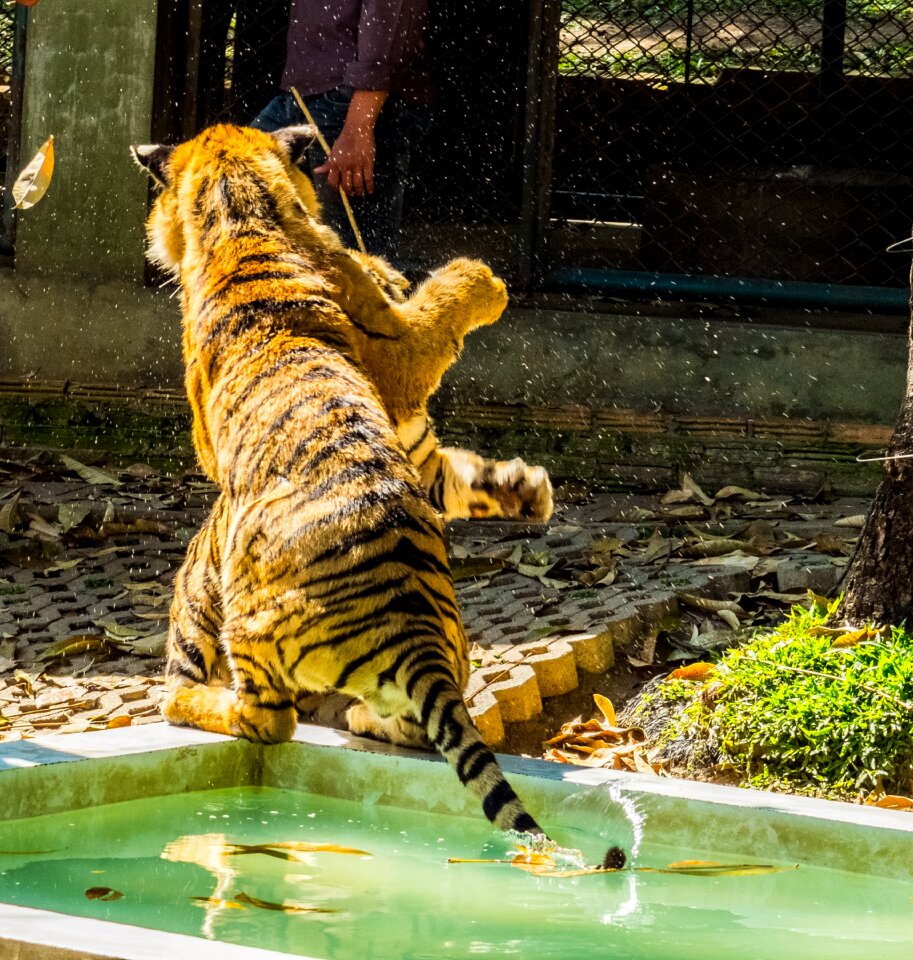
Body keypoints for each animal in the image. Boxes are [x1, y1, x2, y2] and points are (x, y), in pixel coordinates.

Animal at [132, 125, 556, 840]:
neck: (241, 210)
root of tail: (414, 636)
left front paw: (484, 281)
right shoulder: (411, 423)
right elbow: (457, 469)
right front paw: (529, 488)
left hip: (239, 601)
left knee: (264, 718)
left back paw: (201, 701)